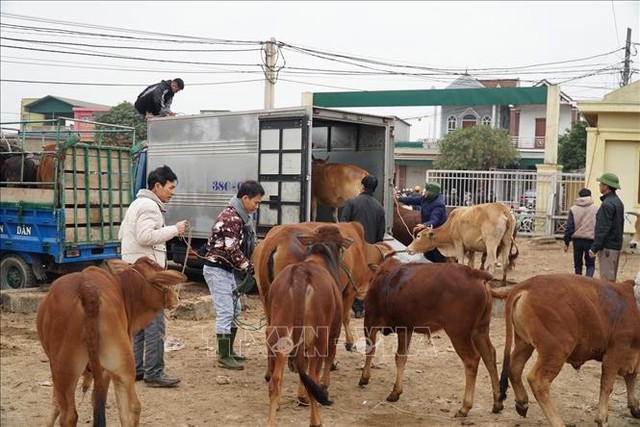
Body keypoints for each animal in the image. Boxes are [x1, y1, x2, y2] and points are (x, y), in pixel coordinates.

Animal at [37, 258, 186, 427]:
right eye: (163, 282)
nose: (177, 298)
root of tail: (87, 289)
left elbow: (57, 402)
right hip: (120, 365)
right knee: (131, 409)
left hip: (66, 369)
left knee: (68, 415)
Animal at [252, 221, 388, 352]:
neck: (362, 250)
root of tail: (276, 239)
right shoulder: (350, 290)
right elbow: (345, 318)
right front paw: (349, 343)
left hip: (266, 296)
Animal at [264, 224, 352, 427]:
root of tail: (300, 275)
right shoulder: (333, 331)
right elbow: (328, 359)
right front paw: (324, 387)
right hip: (319, 336)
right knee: (312, 374)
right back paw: (316, 420)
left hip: (279, 332)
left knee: (276, 381)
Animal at [358, 258, 502, 418]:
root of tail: (475, 273)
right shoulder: (405, 328)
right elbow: (400, 357)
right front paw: (396, 392)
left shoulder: (371, 320)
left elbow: (370, 350)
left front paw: (364, 378)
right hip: (480, 330)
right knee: (489, 356)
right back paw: (497, 402)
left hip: (459, 333)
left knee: (472, 360)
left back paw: (465, 407)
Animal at [500, 276, 640, 426]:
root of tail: (527, 284)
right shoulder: (616, 350)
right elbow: (607, 384)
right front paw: (602, 418)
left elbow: (631, 376)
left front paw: (635, 406)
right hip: (556, 352)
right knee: (538, 381)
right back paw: (558, 422)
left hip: (524, 344)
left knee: (515, 367)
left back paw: (522, 403)